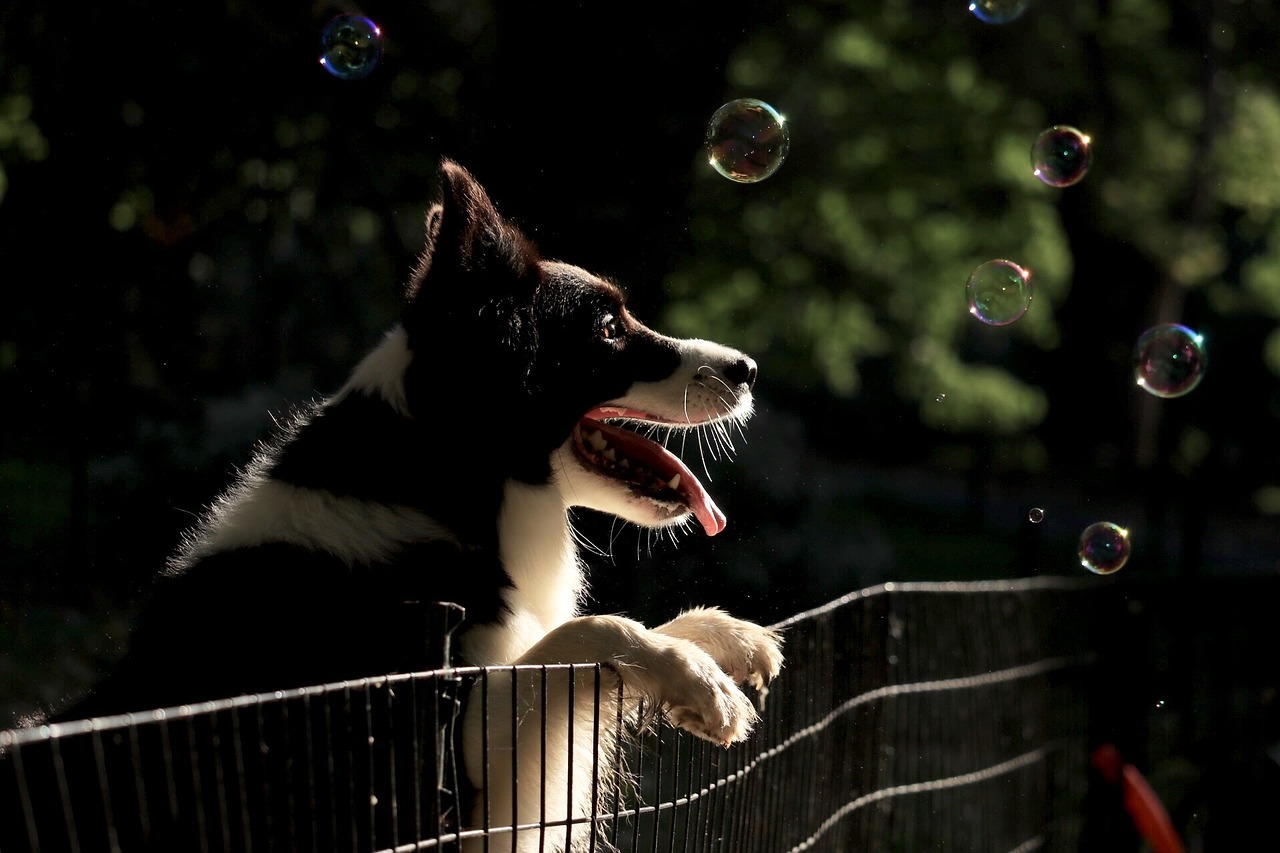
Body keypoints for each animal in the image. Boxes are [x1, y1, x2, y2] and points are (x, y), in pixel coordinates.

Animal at [17, 157, 778, 845]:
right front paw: (696, 680)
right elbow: (591, 631)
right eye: (609, 329)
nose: (749, 369)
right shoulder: (437, 769)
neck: (445, 481)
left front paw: (723, 638)